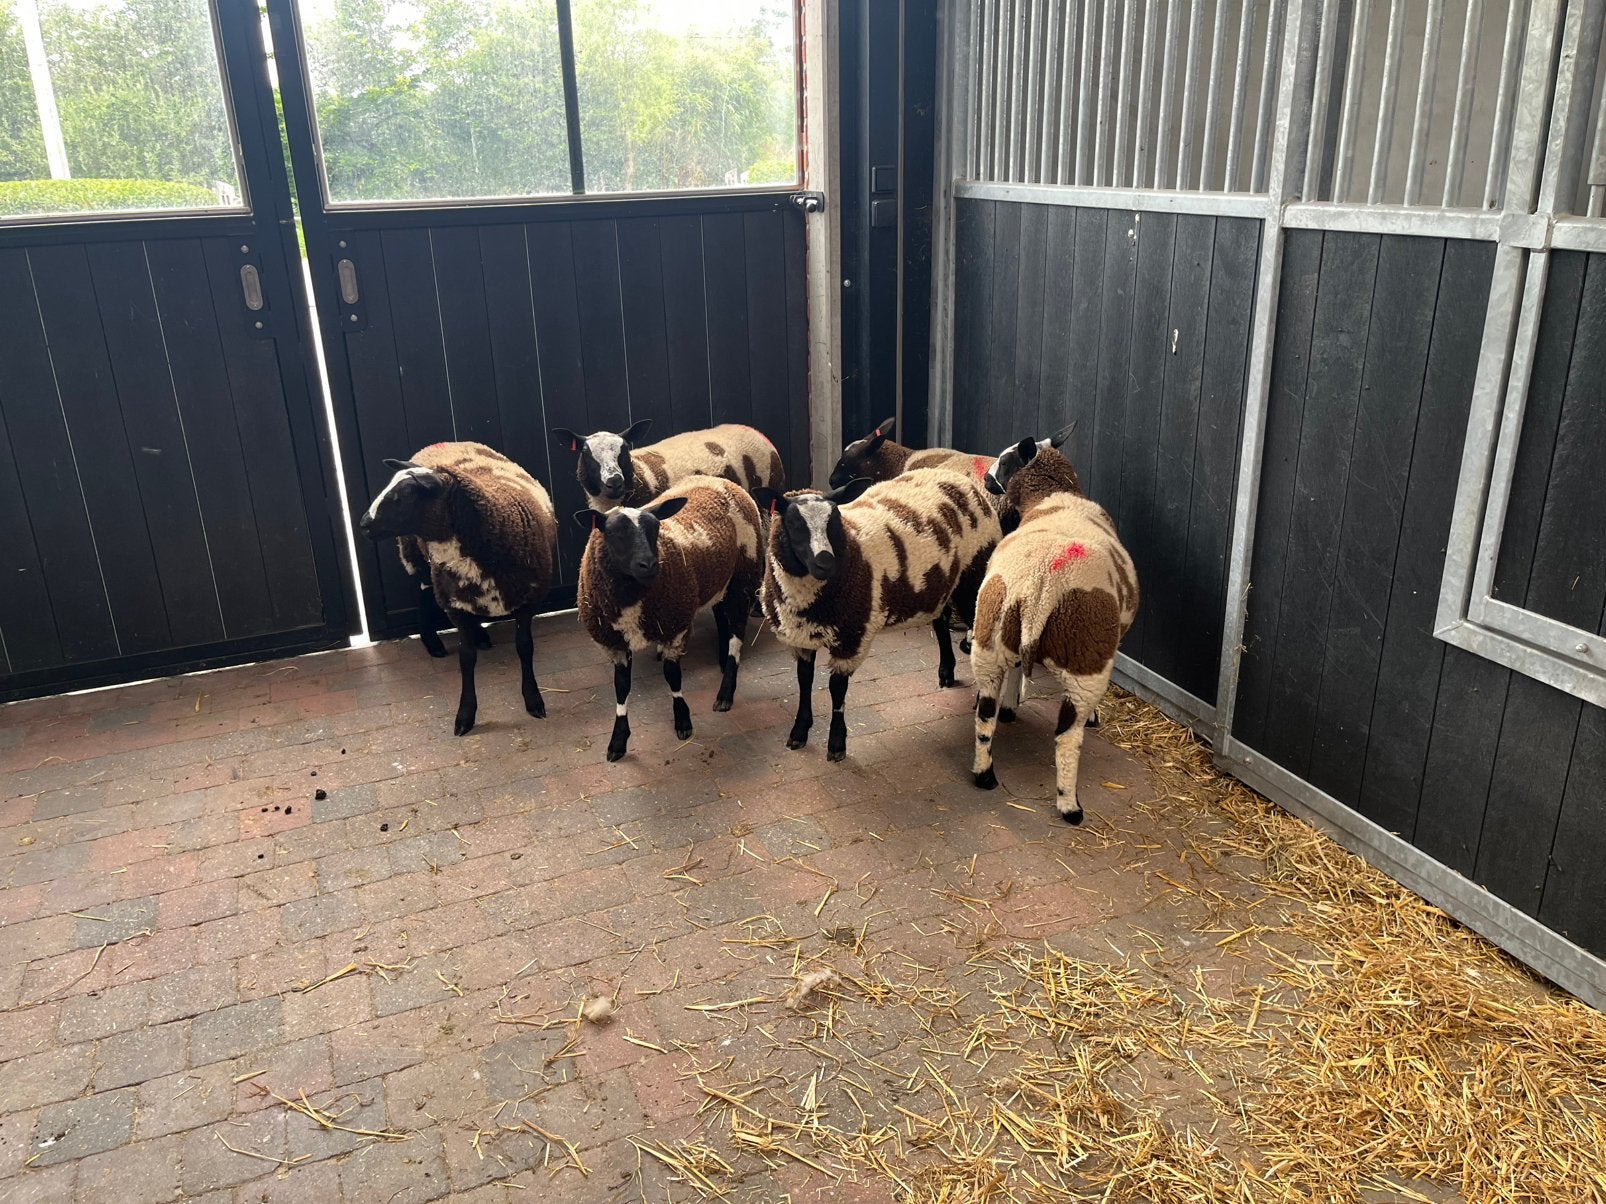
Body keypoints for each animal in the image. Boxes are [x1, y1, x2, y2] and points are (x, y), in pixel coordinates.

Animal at [358, 442, 556, 738]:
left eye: (403, 496)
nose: (363, 524)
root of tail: (441, 443)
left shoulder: (528, 600)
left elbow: (524, 647)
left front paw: (533, 700)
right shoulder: (454, 605)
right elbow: (466, 658)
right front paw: (465, 716)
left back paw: (480, 636)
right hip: (417, 556)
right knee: (423, 593)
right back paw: (432, 642)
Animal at [576, 474, 763, 762]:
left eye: (655, 529)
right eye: (615, 533)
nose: (650, 565)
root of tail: (720, 480)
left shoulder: (675, 626)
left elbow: (672, 675)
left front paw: (683, 721)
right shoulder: (614, 642)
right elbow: (621, 687)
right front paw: (618, 741)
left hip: (743, 576)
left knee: (736, 635)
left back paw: (725, 692)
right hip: (719, 581)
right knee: (722, 620)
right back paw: (721, 661)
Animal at [753, 468, 1001, 762]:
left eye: (834, 520)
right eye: (793, 523)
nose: (826, 562)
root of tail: (952, 474)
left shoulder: (851, 636)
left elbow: (837, 689)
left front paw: (836, 743)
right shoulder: (800, 636)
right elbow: (804, 681)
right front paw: (799, 732)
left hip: (974, 574)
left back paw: (981, 695)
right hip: (941, 584)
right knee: (941, 623)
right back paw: (946, 672)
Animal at [969, 439, 1139, 824]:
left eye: (1005, 462)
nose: (985, 480)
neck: (1054, 496)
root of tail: (1039, 588)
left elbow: (1017, 674)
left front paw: (1012, 706)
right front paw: (1095, 717)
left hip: (989, 639)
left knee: (985, 715)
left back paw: (984, 774)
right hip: (1086, 661)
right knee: (1067, 738)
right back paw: (1069, 806)